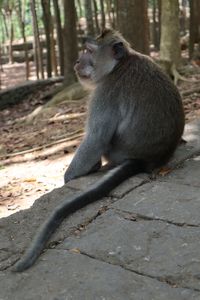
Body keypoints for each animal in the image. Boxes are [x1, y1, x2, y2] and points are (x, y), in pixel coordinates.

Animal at [12, 28, 184, 272]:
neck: (120, 64)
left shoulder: (106, 90)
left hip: (117, 151)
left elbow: (96, 137)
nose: (77, 61)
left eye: (89, 51)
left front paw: (70, 177)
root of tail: (148, 159)